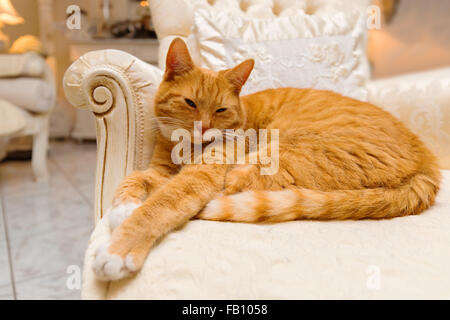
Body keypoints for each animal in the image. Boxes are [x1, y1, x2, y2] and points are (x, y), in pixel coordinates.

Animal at [93, 38, 442, 280]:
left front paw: (119, 248)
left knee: (232, 193)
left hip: (276, 155)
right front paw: (123, 208)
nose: (204, 127)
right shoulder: (159, 170)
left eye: (220, 109)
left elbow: (161, 205)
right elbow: (133, 179)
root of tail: (427, 163)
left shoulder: (199, 176)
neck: (187, 149)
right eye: (190, 103)